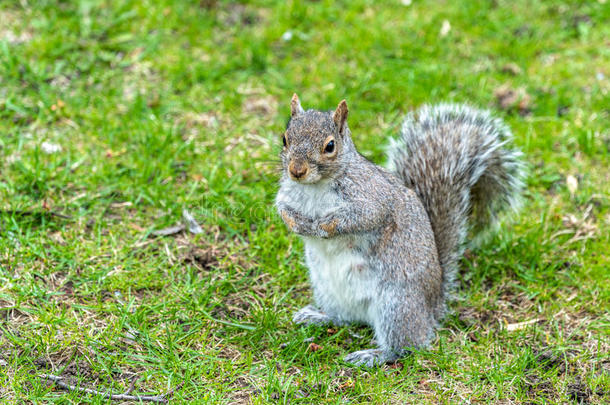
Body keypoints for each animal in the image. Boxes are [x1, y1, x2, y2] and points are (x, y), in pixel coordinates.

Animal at [276, 94, 524, 366]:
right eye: (285, 138)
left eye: (330, 146)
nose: (296, 171)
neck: (315, 186)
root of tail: (432, 307)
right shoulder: (285, 193)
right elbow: (283, 209)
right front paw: (297, 223)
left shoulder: (372, 198)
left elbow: (364, 217)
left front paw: (323, 226)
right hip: (329, 291)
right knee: (344, 318)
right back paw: (319, 317)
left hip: (396, 305)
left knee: (406, 346)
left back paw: (374, 355)